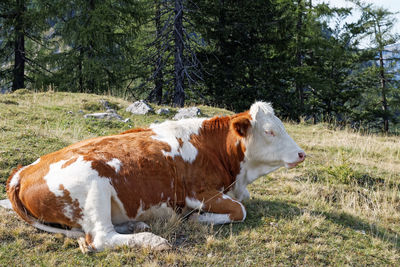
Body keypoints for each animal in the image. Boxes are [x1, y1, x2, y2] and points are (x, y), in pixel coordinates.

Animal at [5, 101, 306, 253]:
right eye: (269, 131)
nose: (301, 153)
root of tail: (22, 172)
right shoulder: (197, 192)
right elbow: (240, 209)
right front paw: (195, 219)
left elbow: (244, 201)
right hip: (94, 186)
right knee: (101, 238)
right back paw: (153, 240)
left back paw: (135, 225)